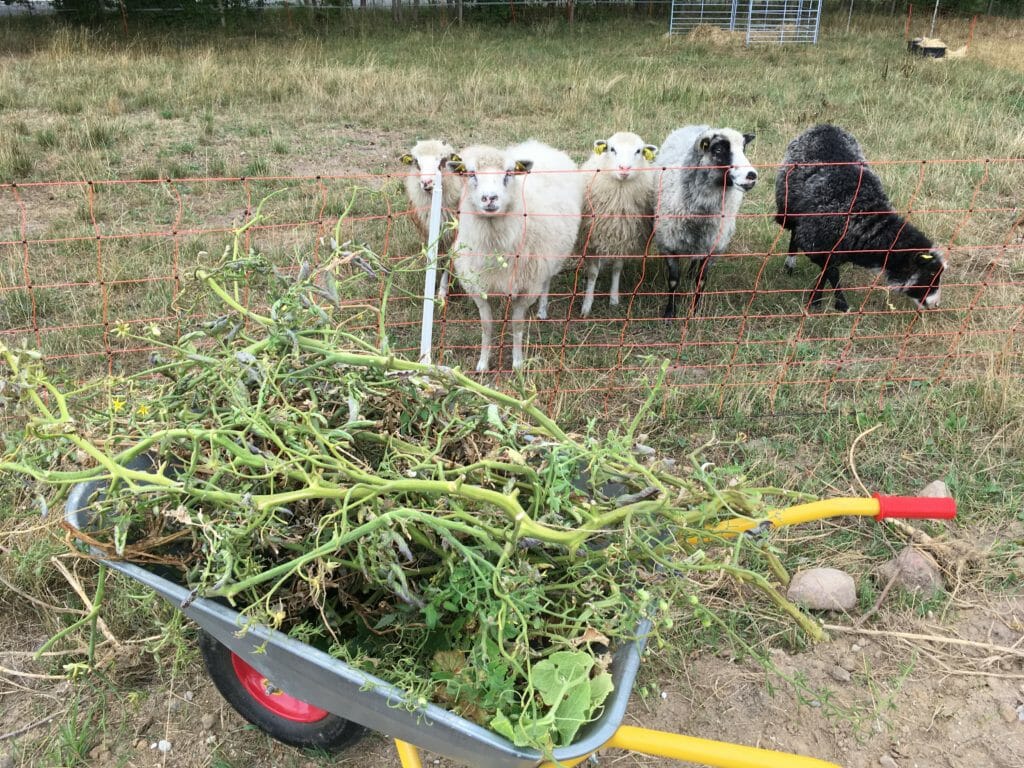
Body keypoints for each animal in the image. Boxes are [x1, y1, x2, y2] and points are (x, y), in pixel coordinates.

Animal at [399, 140, 464, 301]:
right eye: (416, 162)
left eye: (443, 161)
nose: (426, 182)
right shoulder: (427, 232)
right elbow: (434, 257)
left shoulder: (453, 234)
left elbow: (448, 260)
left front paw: (442, 292)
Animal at [448, 142, 585, 376]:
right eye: (470, 173)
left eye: (509, 173)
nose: (490, 198)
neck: (494, 247)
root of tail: (538, 144)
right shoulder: (477, 287)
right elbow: (487, 325)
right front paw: (483, 364)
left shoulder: (527, 287)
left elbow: (517, 324)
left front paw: (518, 364)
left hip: (549, 259)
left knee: (546, 281)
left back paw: (542, 310)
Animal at [577, 131, 655, 317]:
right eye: (612, 149)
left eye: (639, 151)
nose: (624, 168)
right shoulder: (592, 239)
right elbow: (593, 274)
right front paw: (586, 305)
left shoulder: (624, 238)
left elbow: (617, 268)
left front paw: (613, 299)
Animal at [651, 126, 757, 319]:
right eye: (718, 150)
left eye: (743, 149)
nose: (751, 175)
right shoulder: (668, 245)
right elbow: (673, 281)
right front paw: (669, 313)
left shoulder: (712, 249)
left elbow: (701, 282)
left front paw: (694, 312)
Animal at [778, 124, 946, 311]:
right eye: (930, 274)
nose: (935, 304)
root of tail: (825, 126)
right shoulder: (815, 243)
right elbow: (831, 272)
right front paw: (840, 305)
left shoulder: (833, 250)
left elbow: (826, 272)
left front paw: (817, 300)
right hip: (788, 206)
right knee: (793, 233)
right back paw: (789, 265)